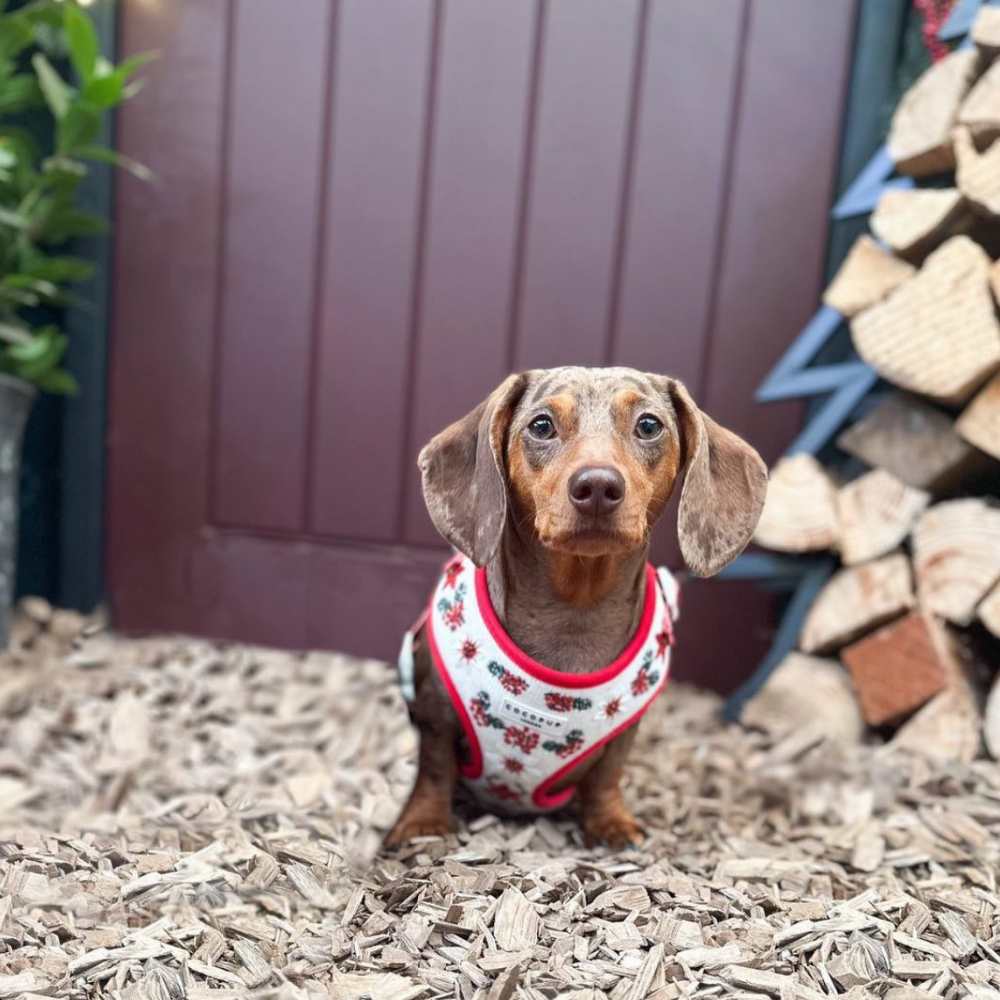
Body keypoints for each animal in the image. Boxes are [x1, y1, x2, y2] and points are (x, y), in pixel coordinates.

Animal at [386, 372, 768, 848]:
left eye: (648, 425)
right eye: (541, 425)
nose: (598, 487)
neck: (575, 608)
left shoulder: (622, 736)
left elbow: (607, 777)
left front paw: (611, 824)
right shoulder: (436, 714)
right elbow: (435, 768)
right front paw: (422, 824)